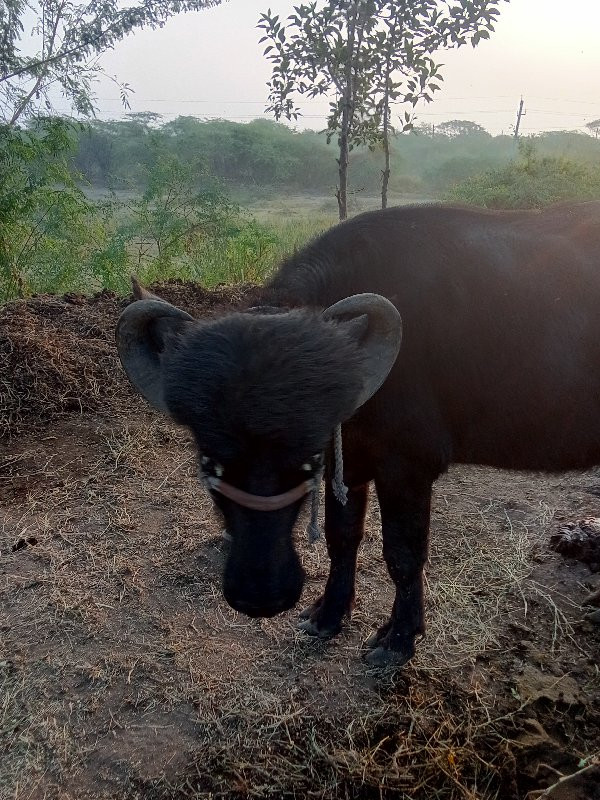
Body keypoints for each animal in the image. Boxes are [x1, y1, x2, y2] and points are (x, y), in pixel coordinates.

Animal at [116, 203, 600, 664]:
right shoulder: (348, 461)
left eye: (306, 458)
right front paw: (328, 615)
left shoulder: (407, 466)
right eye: (209, 461)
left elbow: (403, 554)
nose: (261, 596)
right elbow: (341, 538)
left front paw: (399, 639)